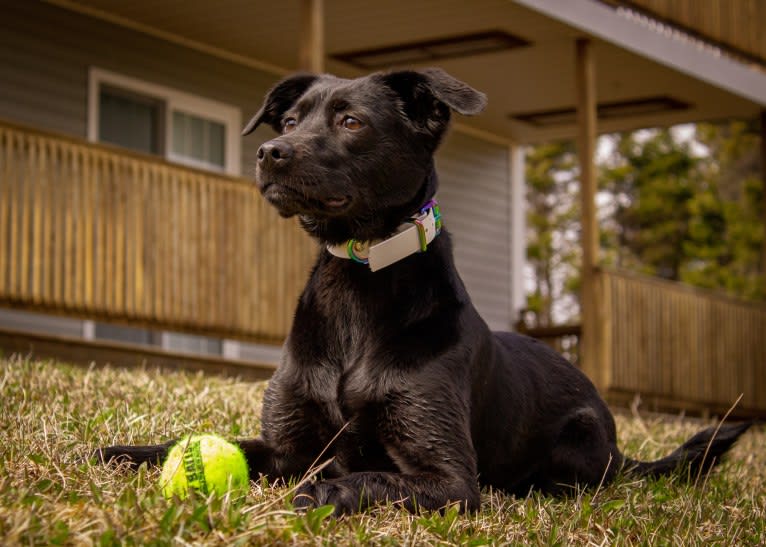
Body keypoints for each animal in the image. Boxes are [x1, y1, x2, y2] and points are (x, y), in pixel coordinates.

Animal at [99, 67, 752, 512]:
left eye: (351, 121)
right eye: (288, 122)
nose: (268, 152)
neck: (359, 276)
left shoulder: (448, 478)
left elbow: (368, 476)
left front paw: (325, 491)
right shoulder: (286, 446)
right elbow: (220, 443)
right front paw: (130, 454)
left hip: (579, 444)